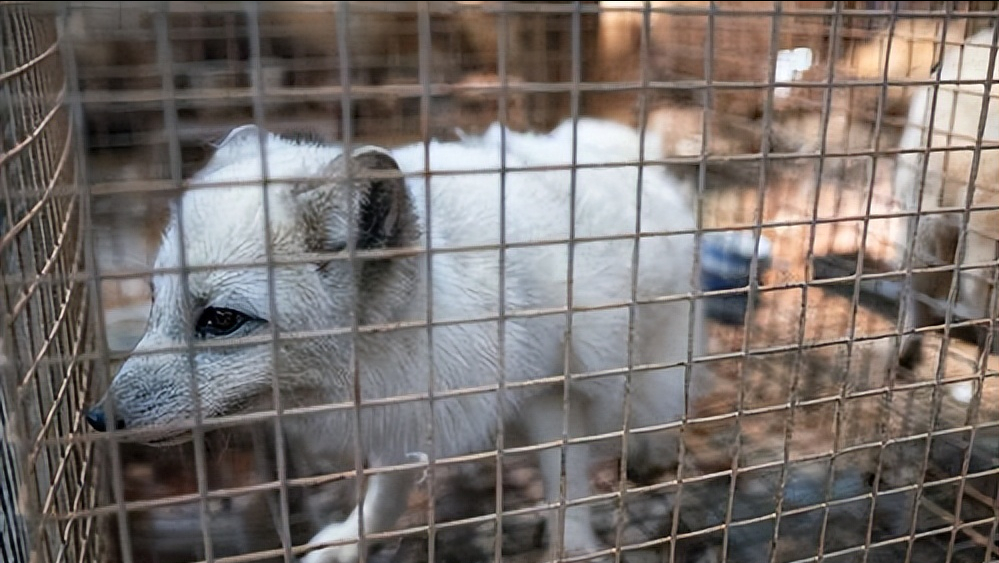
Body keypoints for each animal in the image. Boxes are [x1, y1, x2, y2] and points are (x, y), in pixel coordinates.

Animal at [88, 117, 712, 560]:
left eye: (220, 320)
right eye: (154, 300)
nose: (97, 418)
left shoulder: (551, 390)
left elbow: (566, 483)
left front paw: (572, 545)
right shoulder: (408, 408)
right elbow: (387, 493)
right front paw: (352, 539)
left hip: (652, 364)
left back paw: (651, 450)